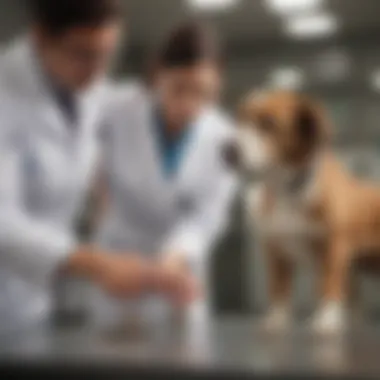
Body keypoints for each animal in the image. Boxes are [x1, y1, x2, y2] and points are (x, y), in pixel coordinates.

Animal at [227, 90, 380, 334]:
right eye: (239, 118)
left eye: (269, 123)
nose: (228, 150)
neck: (289, 190)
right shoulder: (276, 252)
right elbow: (278, 288)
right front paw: (277, 318)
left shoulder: (333, 249)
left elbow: (329, 285)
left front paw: (327, 319)